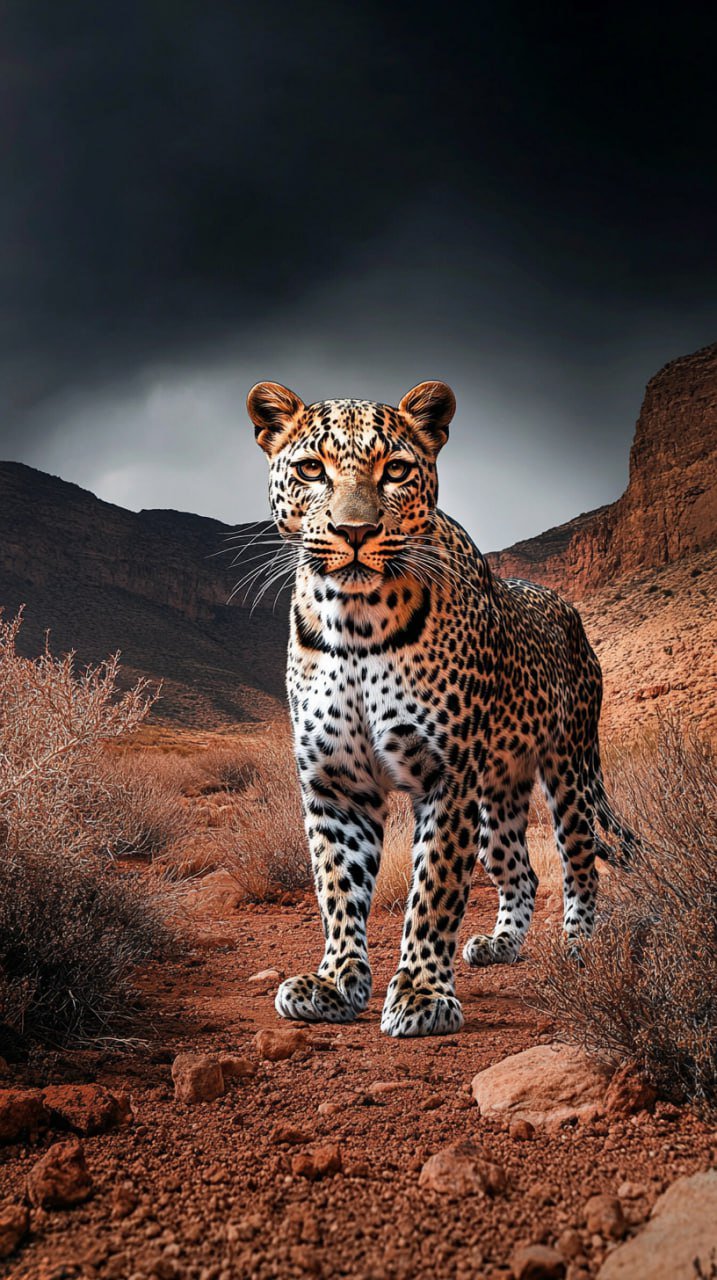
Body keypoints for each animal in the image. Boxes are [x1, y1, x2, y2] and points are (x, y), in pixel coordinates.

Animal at [245, 379, 637, 1037]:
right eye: (311, 469)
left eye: (396, 470)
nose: (354, 531)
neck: (353, 620)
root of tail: (566, 607)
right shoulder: (335, 783)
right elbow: (337, 886)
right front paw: (335, 983)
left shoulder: (446, 776)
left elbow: (435, 889)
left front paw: (422, 995)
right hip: (498, 795)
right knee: (521, 870)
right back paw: (501, 945)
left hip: (569, 771)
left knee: (581, 863)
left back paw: (582, 946)